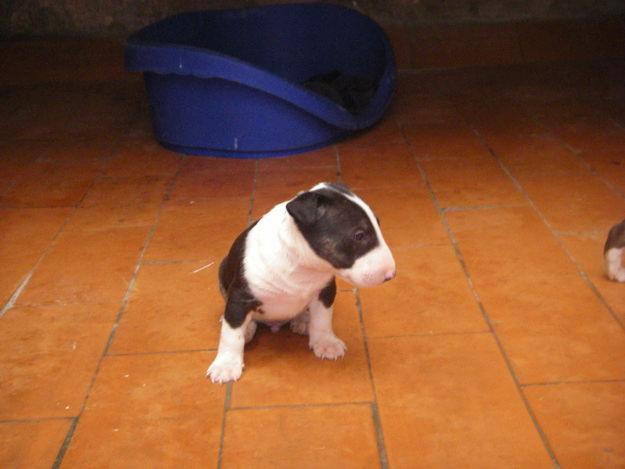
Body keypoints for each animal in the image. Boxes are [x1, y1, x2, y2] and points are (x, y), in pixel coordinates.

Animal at [208, 181, 394, 382]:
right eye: (359, 235)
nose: (390, 274)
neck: (303, 265)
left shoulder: (325, 291)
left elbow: (322, 320)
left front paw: (326, 343)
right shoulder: (240, 297)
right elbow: (231, 334)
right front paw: (226, 365)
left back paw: (303, 320)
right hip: (223, 269)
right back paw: (246, 327)